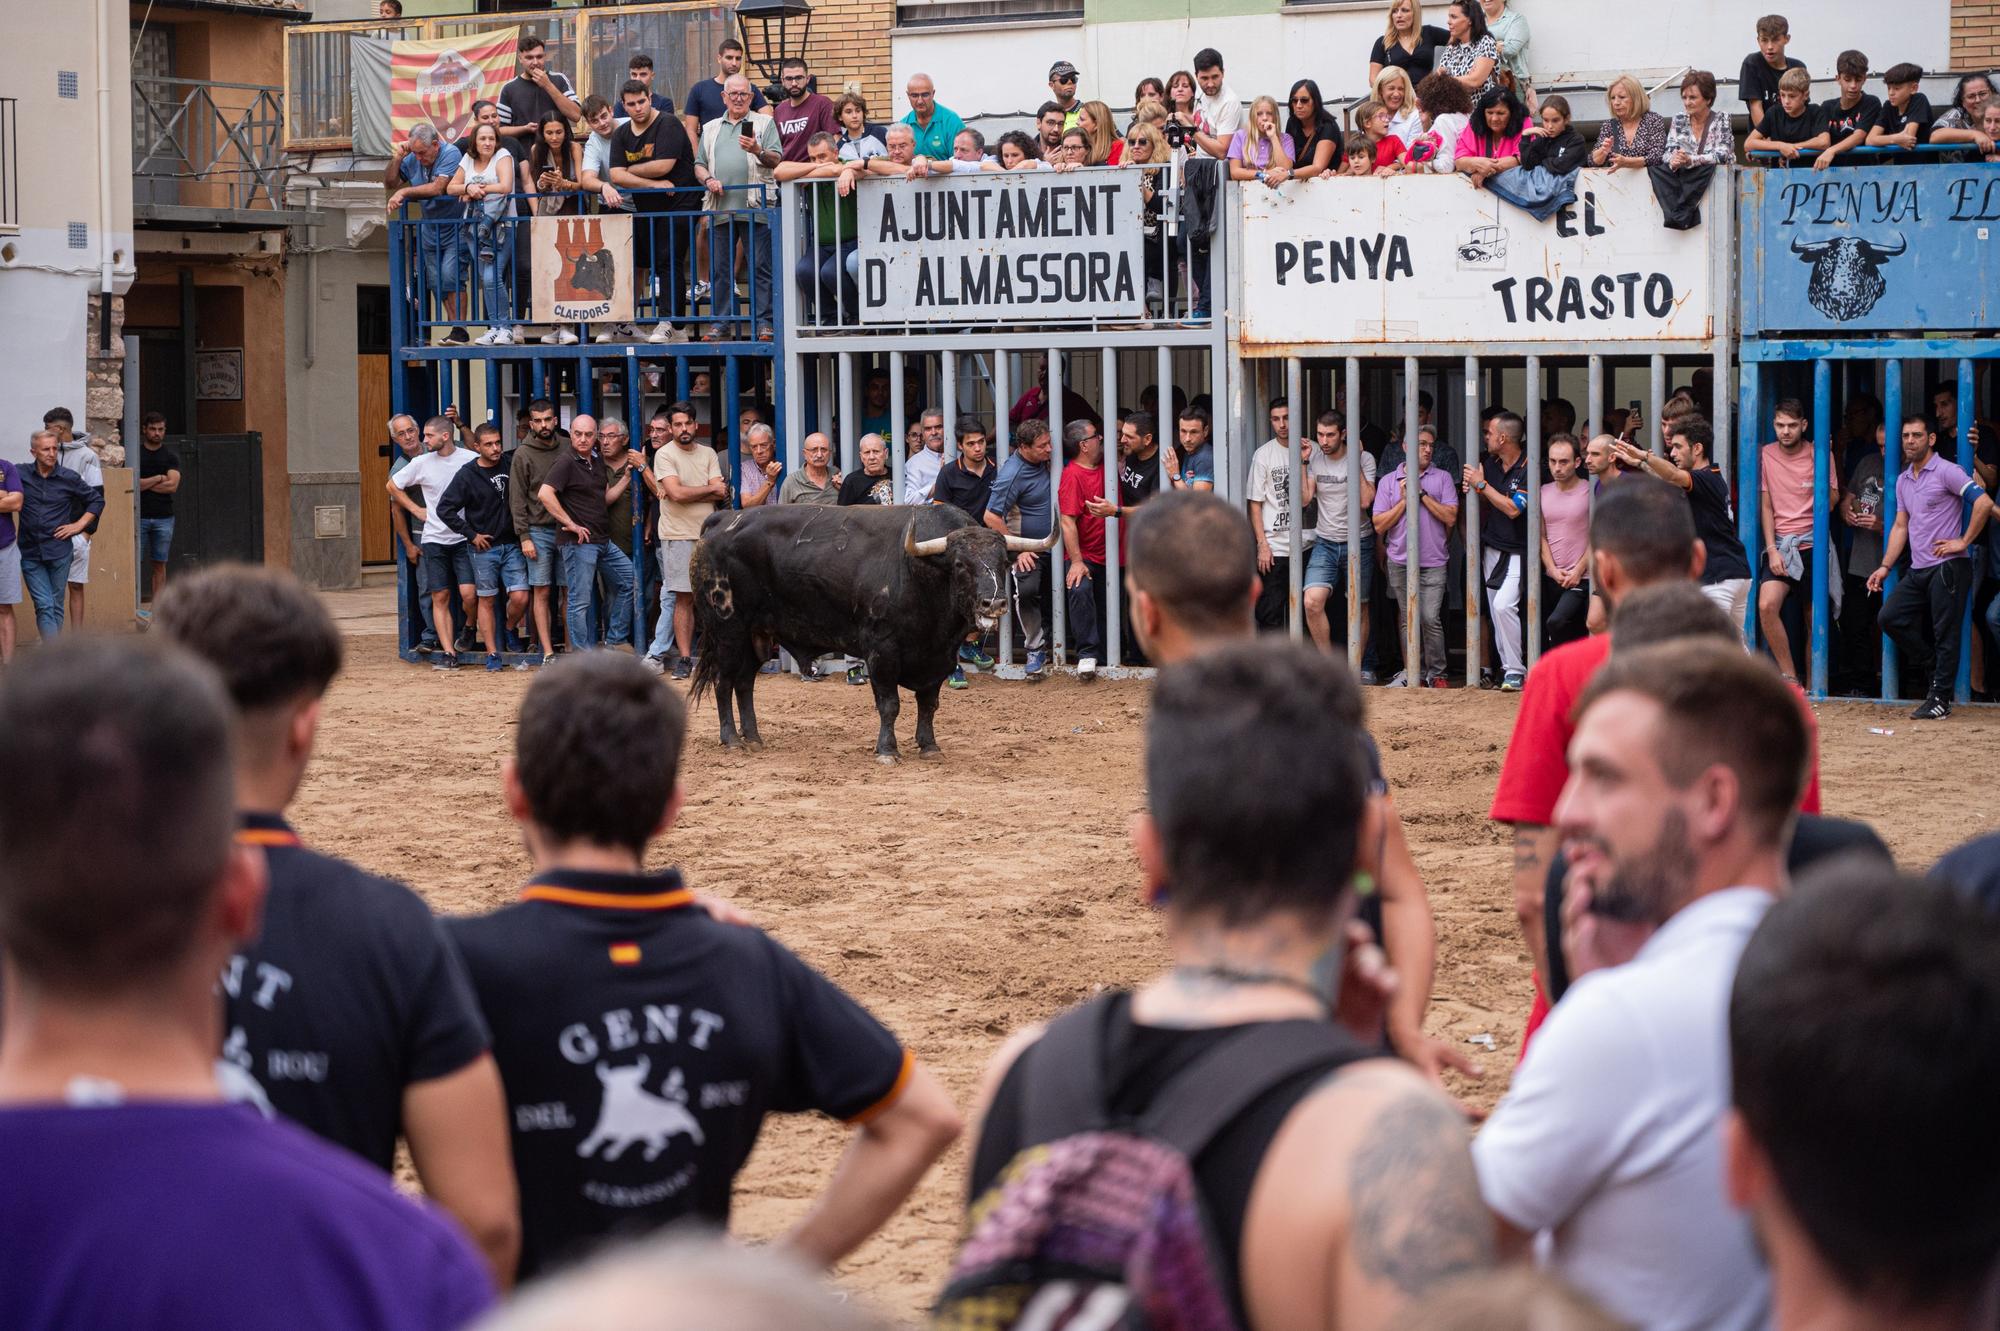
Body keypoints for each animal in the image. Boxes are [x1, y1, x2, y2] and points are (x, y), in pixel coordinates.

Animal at [692, 503, 1064, 763]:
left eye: (1003, 562)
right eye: (960, 564)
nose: (994, 602)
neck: (920, 573)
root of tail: (723, 520)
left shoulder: (939, 657)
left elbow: (929, 704)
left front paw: (929, 746)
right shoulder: (881, 653)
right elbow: (890, 704)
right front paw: (887, 750)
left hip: (756, 636)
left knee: (744, 684)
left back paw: (754, 738)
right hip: (728, 631)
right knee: (724, 682)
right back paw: (732, 740)